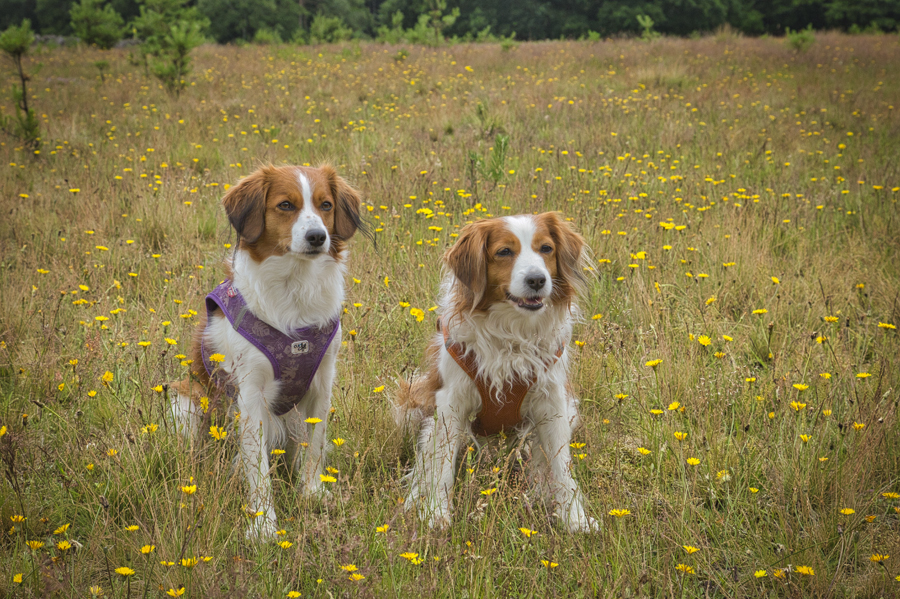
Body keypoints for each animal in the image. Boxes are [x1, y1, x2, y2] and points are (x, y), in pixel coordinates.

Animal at [171, 163, 364, 540]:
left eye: (326, 205)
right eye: (285, 205)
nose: (318, 237)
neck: (295, 287)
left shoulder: (322, 384)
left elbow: (316, 446)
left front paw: (312, 493)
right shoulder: (249, 395)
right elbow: (258, 471)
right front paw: (263, 526)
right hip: (186, 401)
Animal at [396, 213, 596, 532]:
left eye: (546, 248)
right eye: (504, 252)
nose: (537, 280)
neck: (512, 334)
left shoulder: (553, 403)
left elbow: (561, 467)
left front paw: (574, 519)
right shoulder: (450, 403)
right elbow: (441, 466)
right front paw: (436, 514)